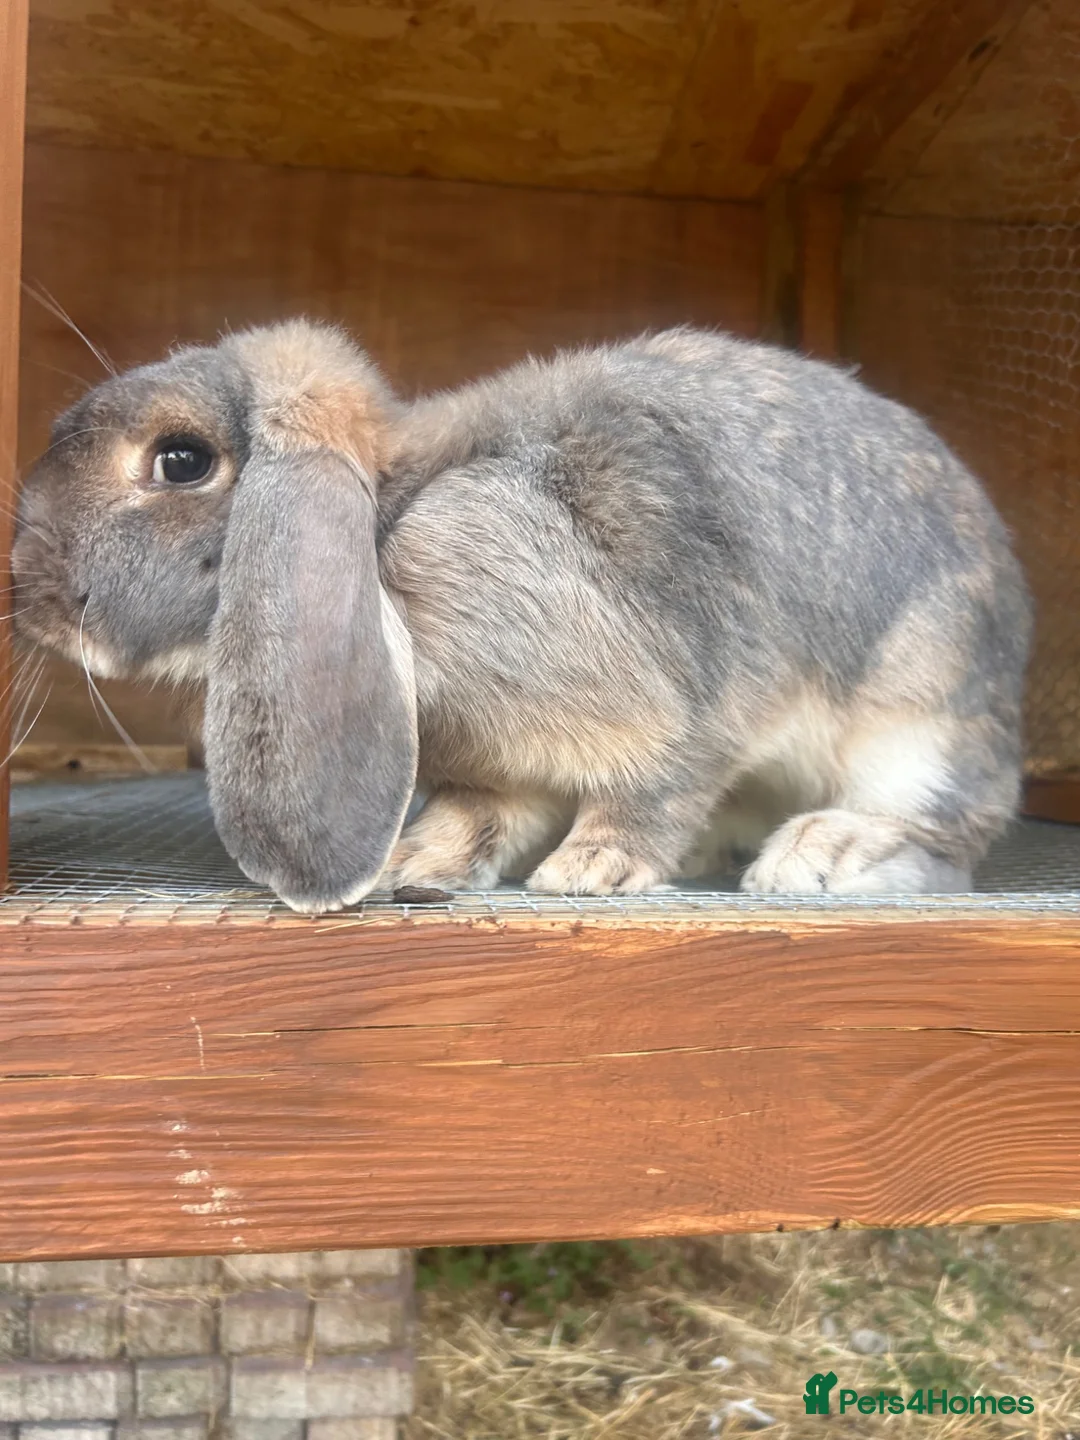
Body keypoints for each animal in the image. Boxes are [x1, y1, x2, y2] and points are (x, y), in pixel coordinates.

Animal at [12, 319, 1032, 913]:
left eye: (181, 461)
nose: (30, 590)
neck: (390, 522)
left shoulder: (685, 707)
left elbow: (661, 779)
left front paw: (594, 868)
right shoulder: (496, 768)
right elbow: (478, 815)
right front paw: (415, 862)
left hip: (919, 722)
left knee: (948, 841)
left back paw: (821, 855)